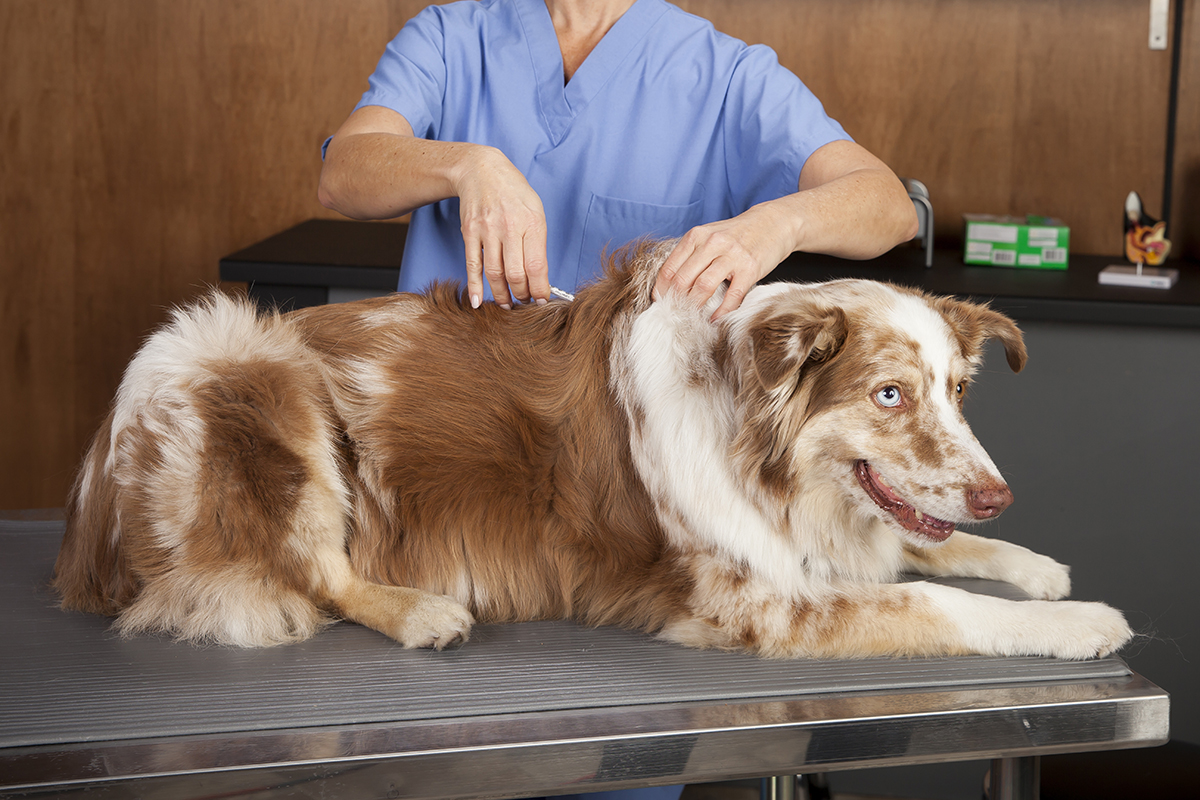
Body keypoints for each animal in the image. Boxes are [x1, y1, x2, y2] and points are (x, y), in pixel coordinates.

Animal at [51, 241, 1128, 662]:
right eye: (888, 394)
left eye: (956, 391)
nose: (996, 494)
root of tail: (88, 511)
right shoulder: (762, 602)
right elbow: (939, 598)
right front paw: (1081, 620)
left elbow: (924, 540)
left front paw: (1032, 562)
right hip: (241, 358)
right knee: (316, 566)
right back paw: (419, 611)